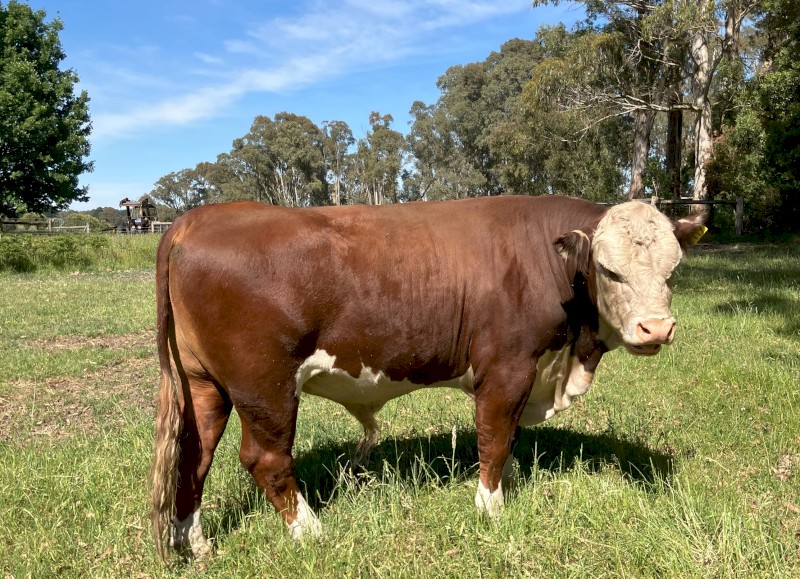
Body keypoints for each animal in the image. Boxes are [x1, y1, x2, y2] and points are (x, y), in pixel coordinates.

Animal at [149, 195, 705, 561]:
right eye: (609, 271)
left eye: (673, 270)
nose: (657, 328)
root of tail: (197, 218)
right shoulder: (507, 368)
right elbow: (495, 437)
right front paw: (491, 508)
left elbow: (509, 438)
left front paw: (509, 486)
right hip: (265, 386)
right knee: (264, 459)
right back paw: (310, 532)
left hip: (204, 384)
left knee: (194, 455)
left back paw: (193, 541)